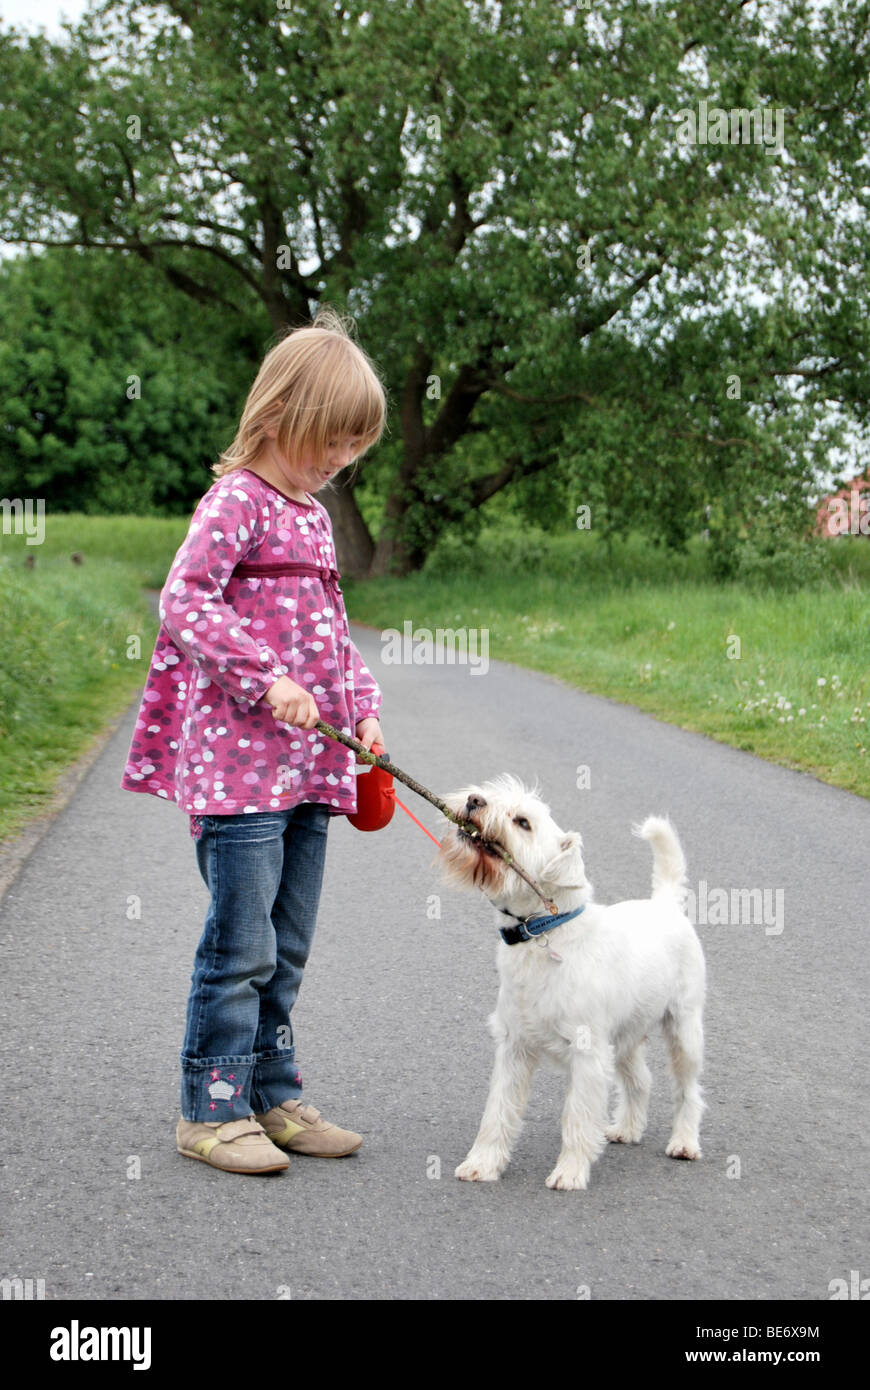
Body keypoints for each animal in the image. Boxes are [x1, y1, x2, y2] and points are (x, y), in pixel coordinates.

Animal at [439, 778, 706, 1189]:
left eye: (523, 822)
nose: (473, 800)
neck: (543, 930)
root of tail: (665, 905)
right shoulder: (514, 1048)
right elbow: (497, 1112)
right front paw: (482, 1164)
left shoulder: (588, 1054)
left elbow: (577, 1118)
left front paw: (570, 1172)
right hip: (626, 1036)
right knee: (641, 1080)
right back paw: (627, 1128)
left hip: (684, 1029)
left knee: (688, 1090)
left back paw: (684, 1142)